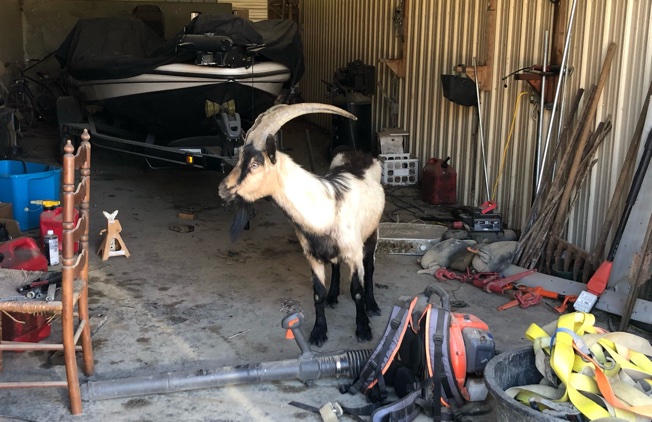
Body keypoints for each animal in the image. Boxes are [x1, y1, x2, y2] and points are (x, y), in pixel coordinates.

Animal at [219, 102, 384, 346]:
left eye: (256, 163)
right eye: (239, 158)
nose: (223, 189)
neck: (324, 209)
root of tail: (359, 154)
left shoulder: (354, 252)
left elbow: (357, 290)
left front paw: (363, 330)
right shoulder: (312, 255)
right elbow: (317, 293)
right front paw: (318, 332)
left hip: (373, 232)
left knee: (371, 268)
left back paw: (373, 306)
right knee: (335, 265)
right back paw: (333, 296)